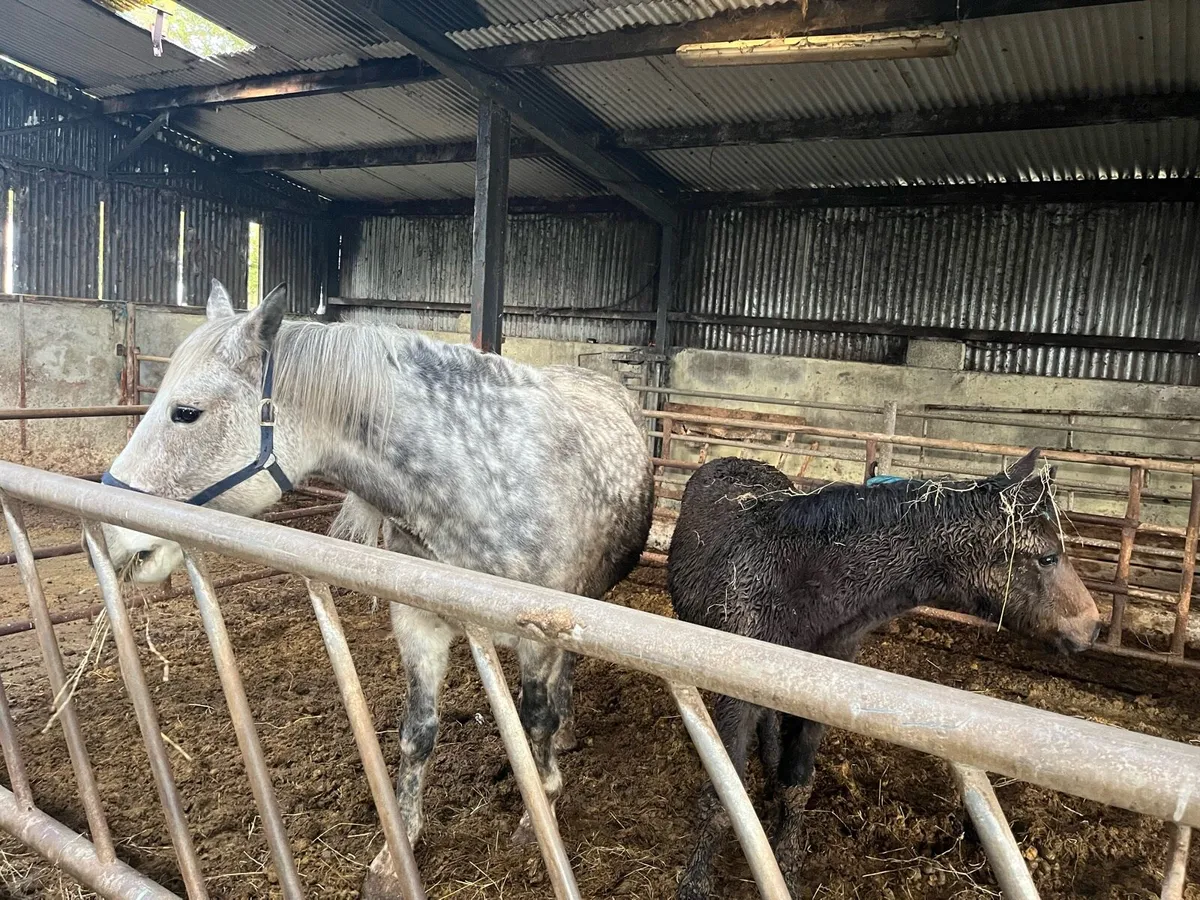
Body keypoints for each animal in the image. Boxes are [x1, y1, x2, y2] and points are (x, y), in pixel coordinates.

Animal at [99, 280, 655, 895]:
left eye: (186, 412)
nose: (114, 535)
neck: (480, 479)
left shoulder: (539, 635)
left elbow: (535, 723)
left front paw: (541, 813)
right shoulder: (418, 623)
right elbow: (418, 733)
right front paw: (397, 852)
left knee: (563, 681)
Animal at [666, 449, 1101, 899]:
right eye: (1048, 557)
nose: (1092, 627)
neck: (799, 585)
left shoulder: (815, 696)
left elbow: (797, 784)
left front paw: (786, 866)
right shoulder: (733, 695)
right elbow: (722, 795)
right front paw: (695, 883)